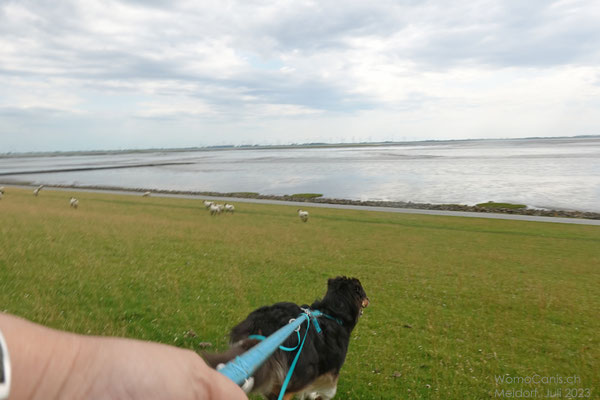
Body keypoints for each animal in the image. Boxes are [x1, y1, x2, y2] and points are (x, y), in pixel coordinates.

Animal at [204, 276, 368, 400]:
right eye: (363, 293)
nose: (369, 300)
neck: (333, 312)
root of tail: (267, 326)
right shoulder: (331, 366)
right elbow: (328, 390)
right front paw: (317, 395)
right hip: (304, 369)